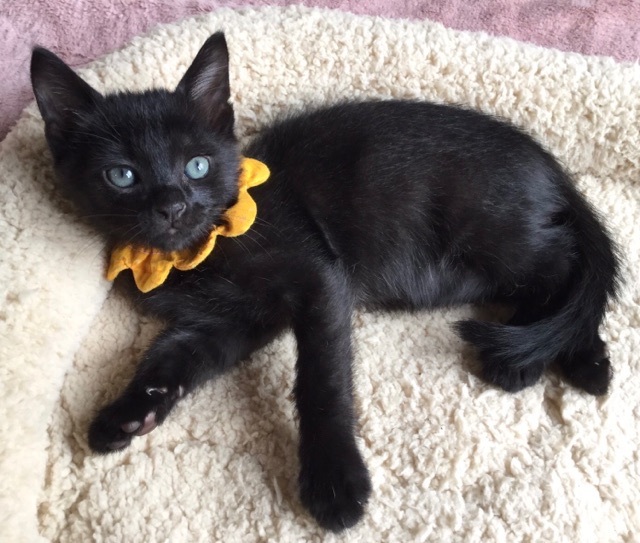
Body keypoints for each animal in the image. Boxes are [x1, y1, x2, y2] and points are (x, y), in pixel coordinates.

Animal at [30, 32, 619, 532]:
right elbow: (169, 358)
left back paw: (565, 359)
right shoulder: (226, 324)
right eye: (122, 176)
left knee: (568, 265)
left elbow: (322, 377)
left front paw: (334, 481)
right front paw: (128, 413)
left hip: (488, 228)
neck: (200, 257)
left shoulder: (319, 278)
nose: (173, 207)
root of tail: (552, 166)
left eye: (197, 166)